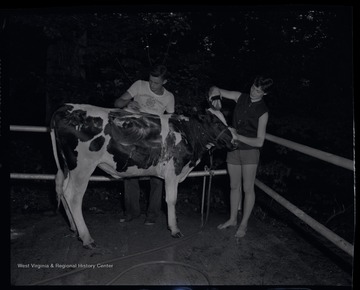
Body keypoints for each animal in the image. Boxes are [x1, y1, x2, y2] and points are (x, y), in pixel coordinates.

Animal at [50, 103, 236, 248]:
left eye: (225, 120)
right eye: (216, 122)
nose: (234, 142)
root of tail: (65, 108)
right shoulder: (173, 171)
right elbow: (171, 200)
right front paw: (174, 229)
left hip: (68, 166)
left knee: (63, 191)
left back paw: (74, 228)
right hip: (83, 167)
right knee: (73, 197)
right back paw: (87, 238)